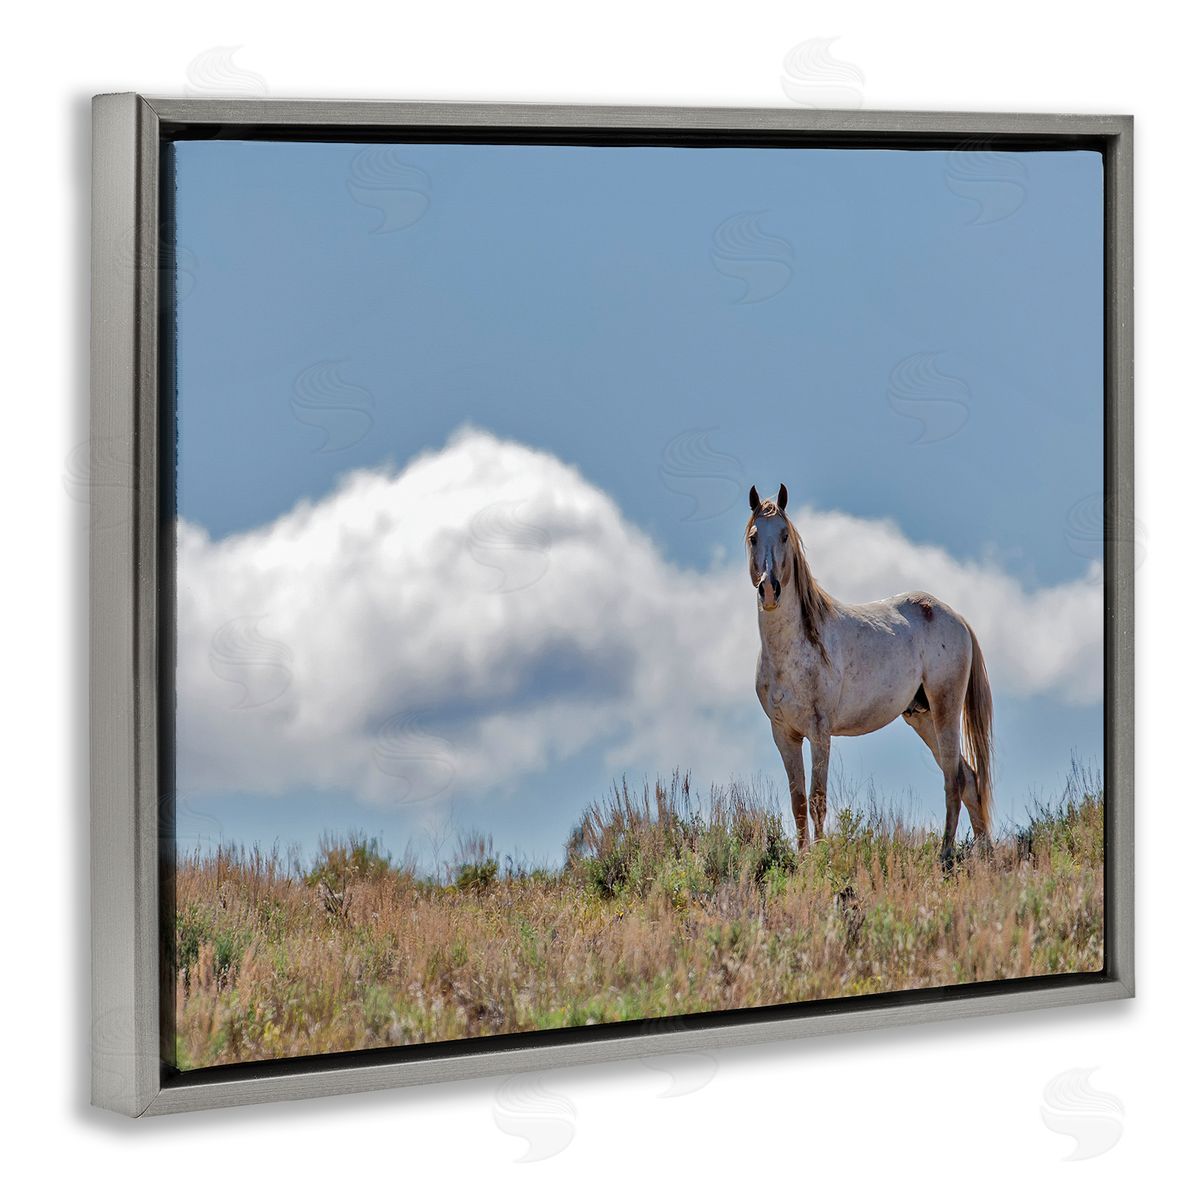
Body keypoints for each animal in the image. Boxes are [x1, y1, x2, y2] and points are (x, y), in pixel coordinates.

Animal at [745, 485, 994, 869]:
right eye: (754, 537)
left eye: (785, 535)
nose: (769, 590)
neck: (793, 650)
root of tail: (956, 618)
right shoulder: (784, 734)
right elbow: (798, 801)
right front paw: (803, 858)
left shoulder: (819, 733)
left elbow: (817, 798)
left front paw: (820, 856)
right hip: (921, 718)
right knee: (968, 778)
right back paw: (984, 856)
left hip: (945, 711)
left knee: (953, 780)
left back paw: (946, 854)